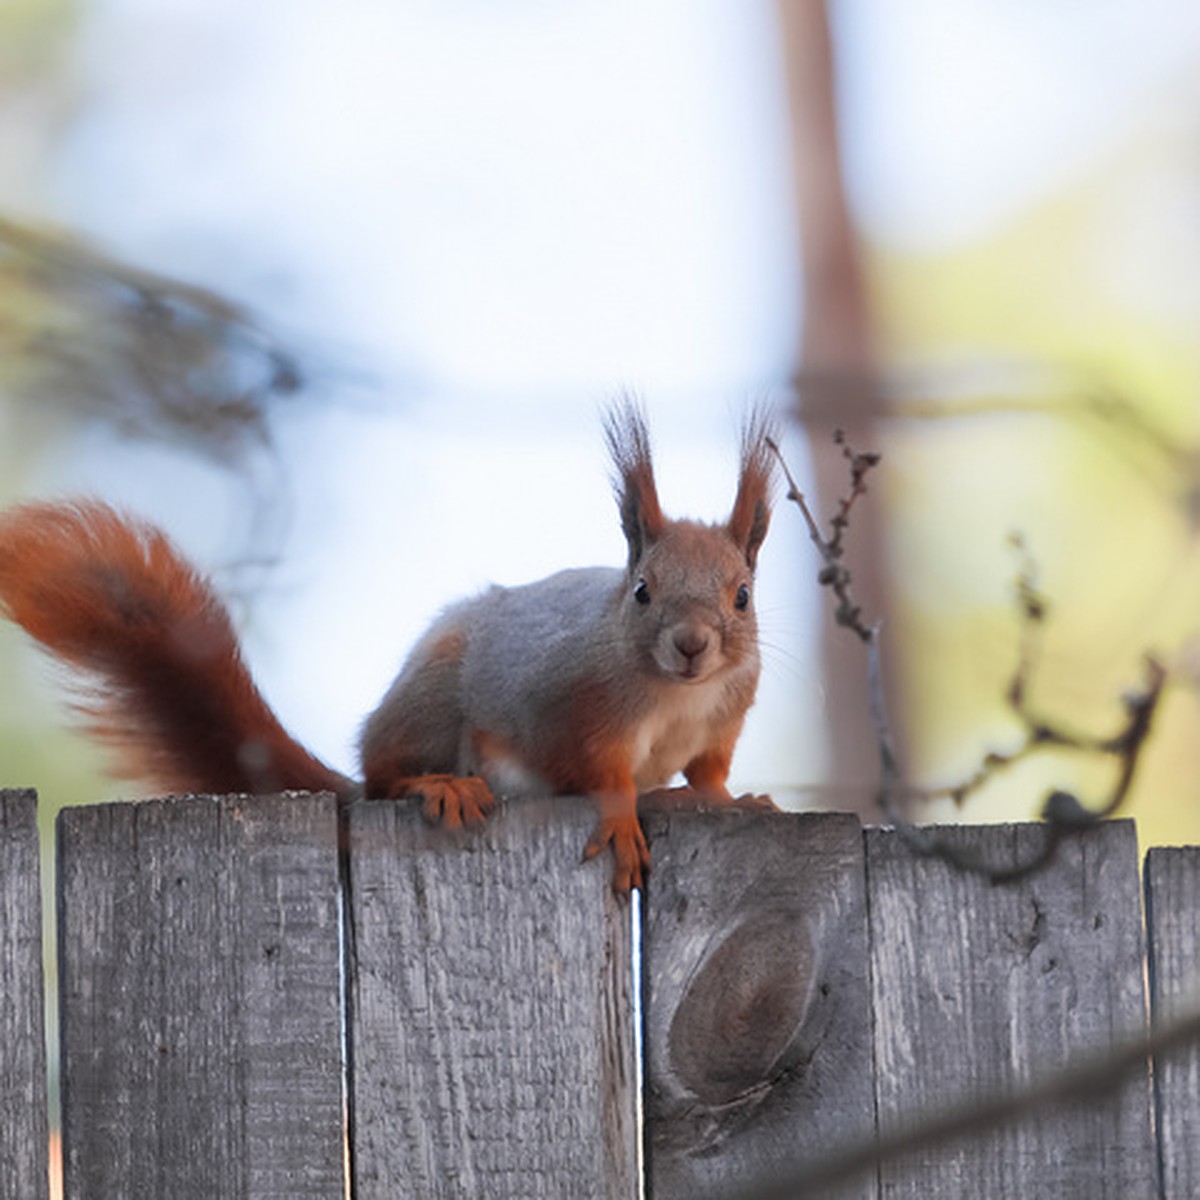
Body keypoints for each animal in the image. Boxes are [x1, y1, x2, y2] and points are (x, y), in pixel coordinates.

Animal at [0, 405, 772, 892]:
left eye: (742, 595)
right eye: (641, 591)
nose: (693, 645)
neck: (678, 696)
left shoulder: (723, 720)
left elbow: (709, 771)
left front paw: (733, 799)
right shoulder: (571, 706)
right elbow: (596, 772)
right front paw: (618, 820)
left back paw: (668, 798)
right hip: (431, 704)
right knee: (380, 777)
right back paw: (436, 785)